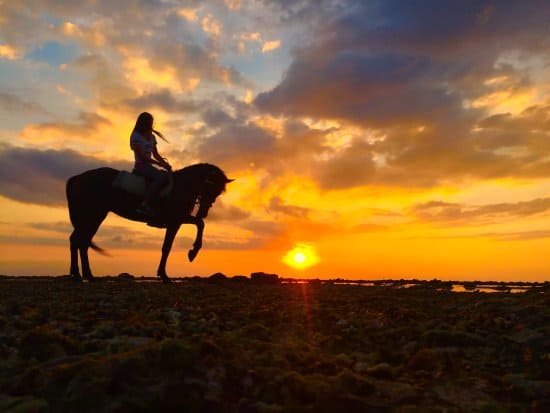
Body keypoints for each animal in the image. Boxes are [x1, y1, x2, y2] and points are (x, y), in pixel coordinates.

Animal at [66, 163, 234, 282]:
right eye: (208, 186)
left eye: (218, 192)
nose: (204, 212)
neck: (181, 186)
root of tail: (77, 178)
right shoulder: (175, 221)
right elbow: (168, 246)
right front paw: (169, 272)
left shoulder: (179, 220)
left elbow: (199, 224)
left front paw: (190, 254)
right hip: (92, 215)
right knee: (78, 241)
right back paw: (79, 276)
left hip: (94, 217)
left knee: (82, 242)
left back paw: (86, 276)